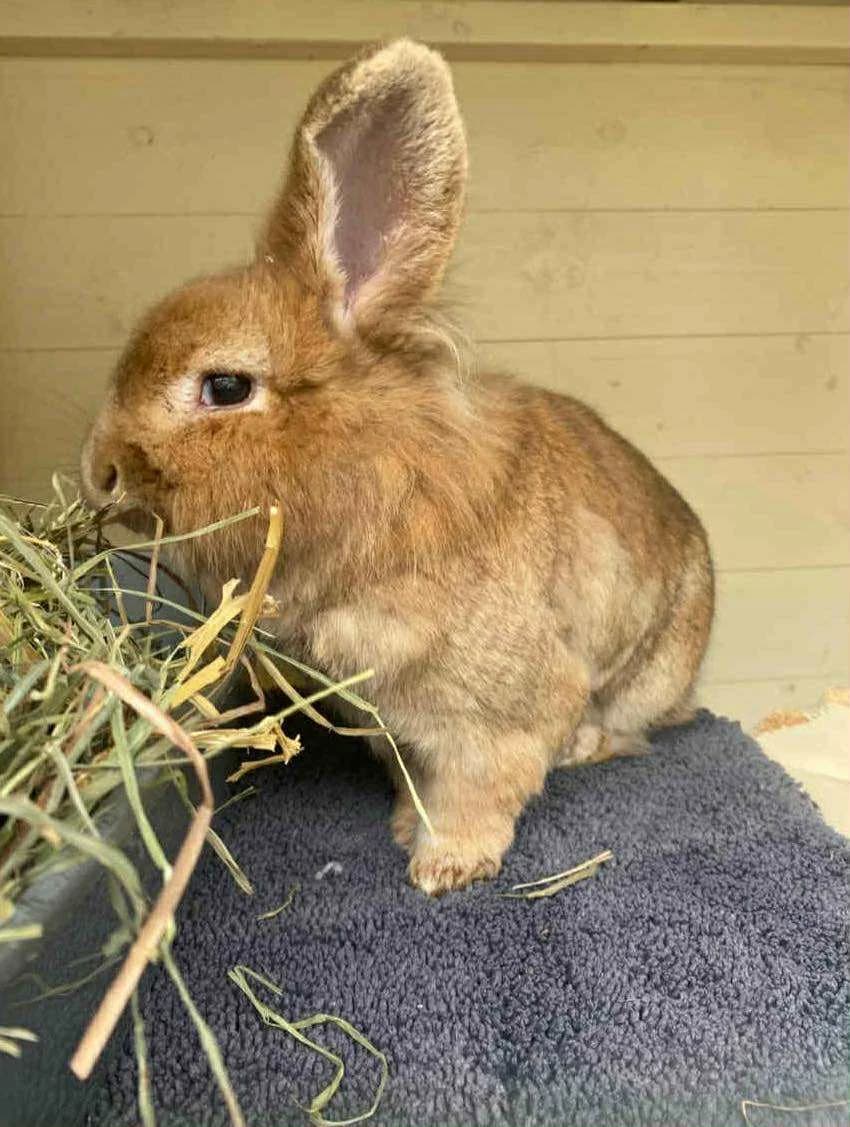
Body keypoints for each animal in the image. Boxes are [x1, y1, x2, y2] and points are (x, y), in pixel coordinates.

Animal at [81, 39, 714, 896]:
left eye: (226, 387)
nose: (99, 470)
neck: (377, 468)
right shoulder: (392, 723)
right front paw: (406, 826)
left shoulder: (497, 719)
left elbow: (480, 789)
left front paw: (443, 864)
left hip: (649, 673)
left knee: (627, 729)